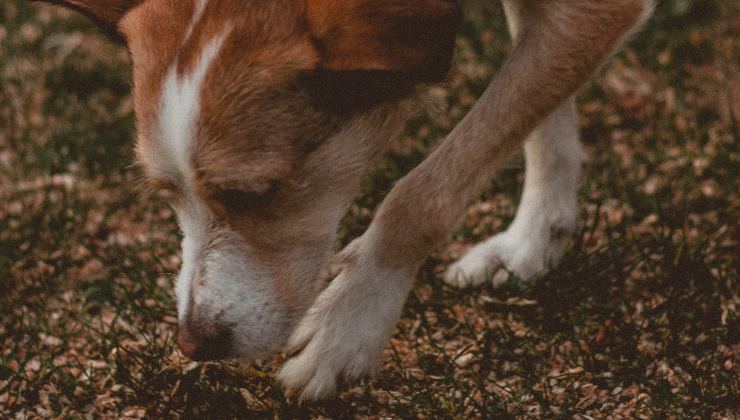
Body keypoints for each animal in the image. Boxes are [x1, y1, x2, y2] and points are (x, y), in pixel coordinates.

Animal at [34, 0, 652, 400]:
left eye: (256, 193)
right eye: (165, 193)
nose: (194, 344)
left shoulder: (593, 11)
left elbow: (422, 194)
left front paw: (347, 324)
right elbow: (544, 118)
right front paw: (534, 240)